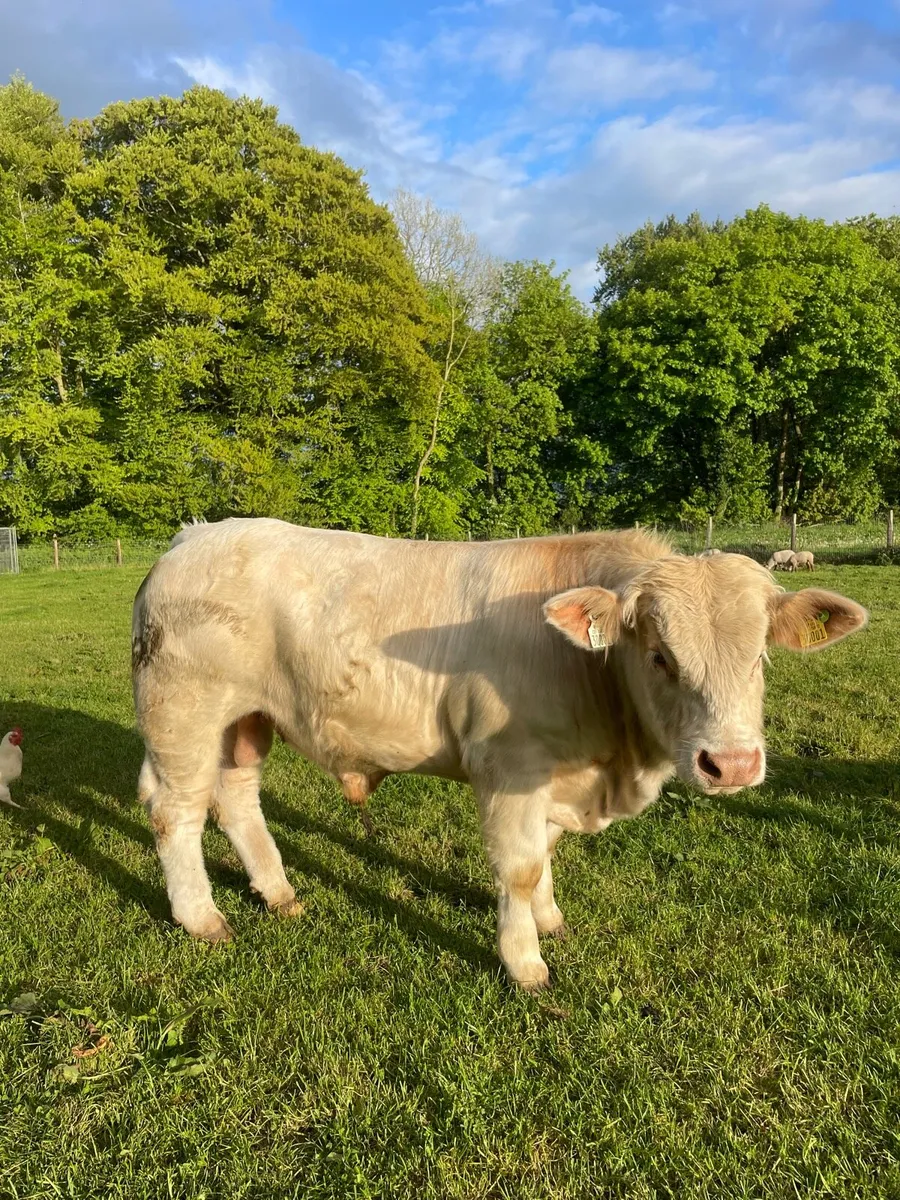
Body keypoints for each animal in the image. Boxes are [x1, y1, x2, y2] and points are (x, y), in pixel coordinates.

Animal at [132, 519, 867, 991]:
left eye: (762, 655)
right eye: (660, 656)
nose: (732, 764)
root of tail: (193, 535)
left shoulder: (553, 774)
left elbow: (543, 856)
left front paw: (550, 921)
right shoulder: (511, 766)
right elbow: (518, 867)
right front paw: (526, 964)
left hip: (245, 720)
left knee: (235, 799)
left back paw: (279, 893)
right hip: (183, 713)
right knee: (177, 812)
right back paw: (202, 918)